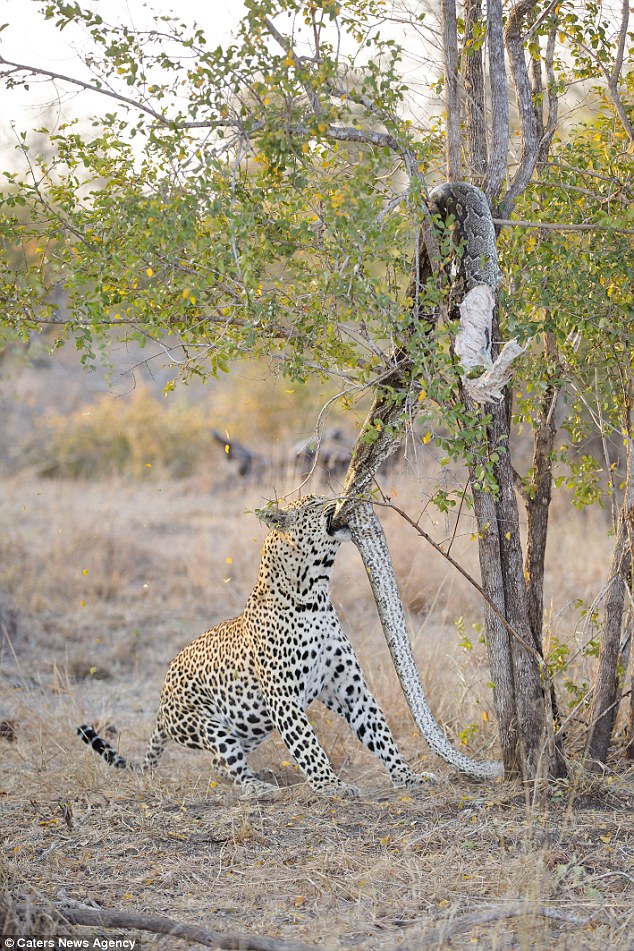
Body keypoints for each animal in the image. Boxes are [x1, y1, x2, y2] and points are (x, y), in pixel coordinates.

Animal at [76, 494, 428, 800]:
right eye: (314, 503)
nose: (344, 499)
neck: (314, 595)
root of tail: (161, 707)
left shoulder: (348, 687)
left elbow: (379, 731)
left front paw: (407, 775)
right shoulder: (283, 697)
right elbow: (308, 744)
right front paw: (330, 785)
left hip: (249, 727)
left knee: (219, 762)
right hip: (210, 724)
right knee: (228, 761)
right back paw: (258, 786)